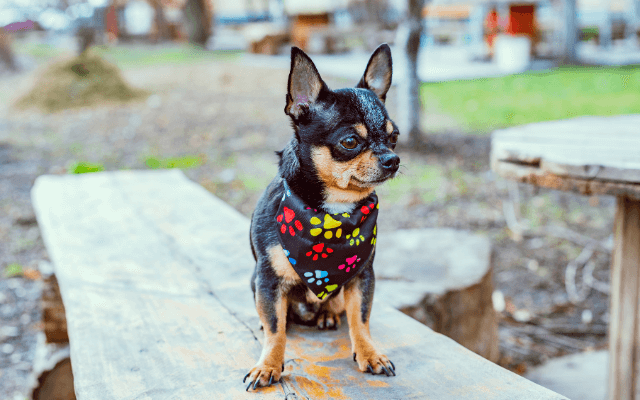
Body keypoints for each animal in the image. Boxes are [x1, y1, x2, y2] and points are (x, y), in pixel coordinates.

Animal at [246, 44, 400, 390]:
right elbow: (275, 329)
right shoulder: (268, 282)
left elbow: (361, 319)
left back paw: (327, 313)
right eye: (350, 142)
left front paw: (369, 353)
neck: (332, 214)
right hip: (254, 282)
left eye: (394, 137)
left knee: (337, 305)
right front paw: (268, 365)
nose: (393, 159)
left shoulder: (362, 277)